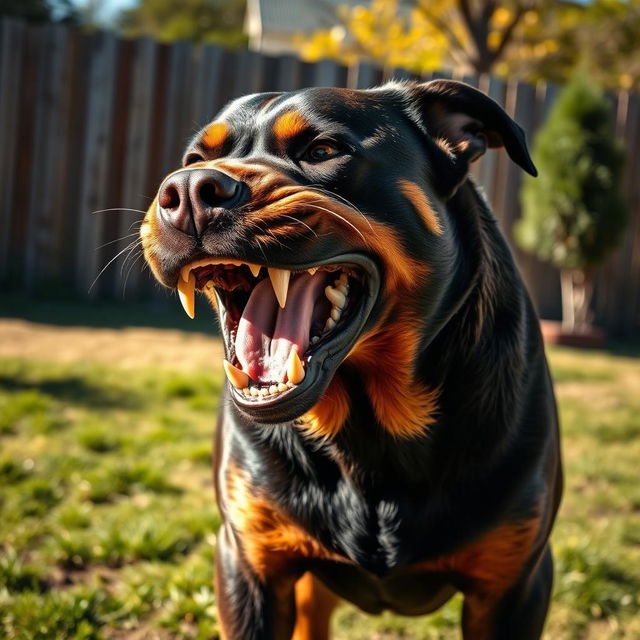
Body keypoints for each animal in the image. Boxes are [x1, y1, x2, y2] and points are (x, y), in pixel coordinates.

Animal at [142, 81, 564, 640]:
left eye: (322, 151)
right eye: (194, 160)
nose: (188, 188)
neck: (369, 428)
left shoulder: (513, 585)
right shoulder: (249, 564)